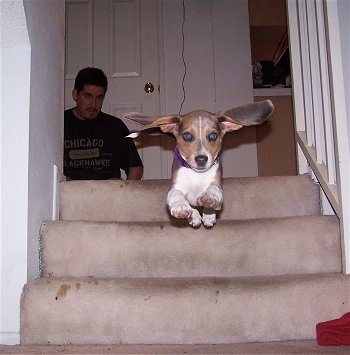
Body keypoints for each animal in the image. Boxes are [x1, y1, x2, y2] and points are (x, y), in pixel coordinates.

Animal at [124, 100, 274, 228]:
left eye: (213, 136)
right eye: (187, 136)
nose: (201, 159)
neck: (197, 174)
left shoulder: (217, 185)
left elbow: (214, 191)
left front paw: (209, 199)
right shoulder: (175, 187)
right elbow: (176, 195)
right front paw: (180, 207)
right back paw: (195, 216)